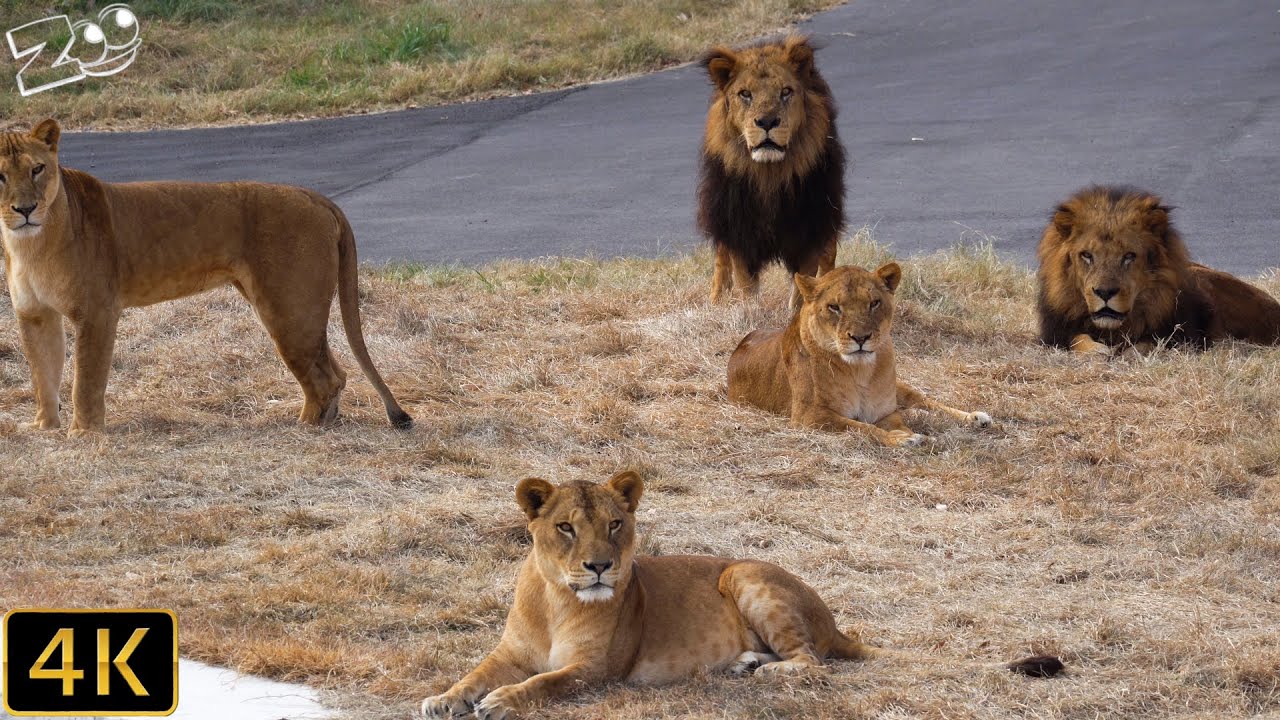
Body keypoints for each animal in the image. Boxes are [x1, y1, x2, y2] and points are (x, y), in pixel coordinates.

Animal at [0, 119, 412, 434]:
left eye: (37, 169)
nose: (25, 209)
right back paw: (320, 422)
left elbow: (85, 379)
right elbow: (43, 374)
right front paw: (44, 428)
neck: (32, 244)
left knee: (325, 377)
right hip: (294, 311)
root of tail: (315, 196)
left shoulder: (97, 313)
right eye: (1, 176)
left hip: (289, 311)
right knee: (334, 371)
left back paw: (304, 426)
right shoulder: (35, 315)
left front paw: (84, 434)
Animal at [421, 471, 1062, 720]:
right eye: (565, 528)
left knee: (812, 664)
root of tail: (835, 622)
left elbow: (545, 683)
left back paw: (764, 672)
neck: (558, 599)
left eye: (615, 524)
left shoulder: (596, 669)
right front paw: (442, 699)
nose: (601, 566)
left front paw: (501, 702)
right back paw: (746, 664)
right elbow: (474, 673)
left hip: (744, 574)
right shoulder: (510, 651)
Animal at [697, 35, 846, 310]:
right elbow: (745, 285)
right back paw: (716, 300)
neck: (770, 175)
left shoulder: (810, 229)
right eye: (745, 94)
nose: (766, 122)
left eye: (785, 92)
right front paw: (749, 314)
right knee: (721, 259)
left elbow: (802, 287)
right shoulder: (738, 230)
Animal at [727, 262, 992, 447]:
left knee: (924, 401)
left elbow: (893, 423)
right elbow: (861, 427)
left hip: (899, 387)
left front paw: (914, 436)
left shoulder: (885, 412)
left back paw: (976, 417)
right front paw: (903, 439)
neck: (860, 371)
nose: (861, 338)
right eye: (834, 307)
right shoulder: (808, 416)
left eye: (874, 303)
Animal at [1037, 185, 1280, 354]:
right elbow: (1078, 340)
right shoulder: (1054, 335)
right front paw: (1097, 350)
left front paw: (1128, 352)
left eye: (1129, 256)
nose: (1105, 293)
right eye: (1087, 255)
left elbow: (1144, 345)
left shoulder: (1175, 334)